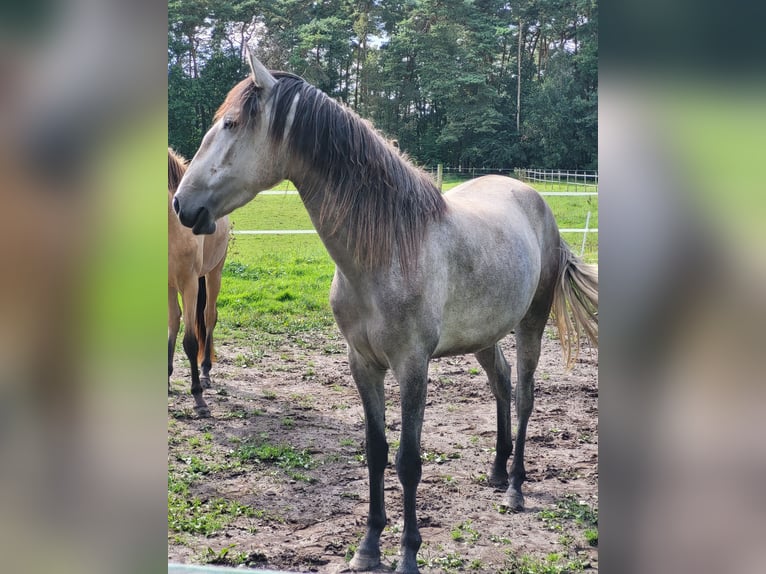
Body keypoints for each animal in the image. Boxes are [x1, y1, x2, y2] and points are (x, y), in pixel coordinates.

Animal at [176, 50, 600, 574]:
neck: (390, 249)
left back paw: (516, 488)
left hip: (531, 324)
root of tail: (535, 200)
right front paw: (368, 546)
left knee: (524, 396)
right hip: (484, 335)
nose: (182, 205)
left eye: (231, 124)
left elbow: (408, 460)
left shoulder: (412, 366)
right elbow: (376, 451)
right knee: (501, 384)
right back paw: (497, 472)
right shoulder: (364, 364)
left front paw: (408, 554)